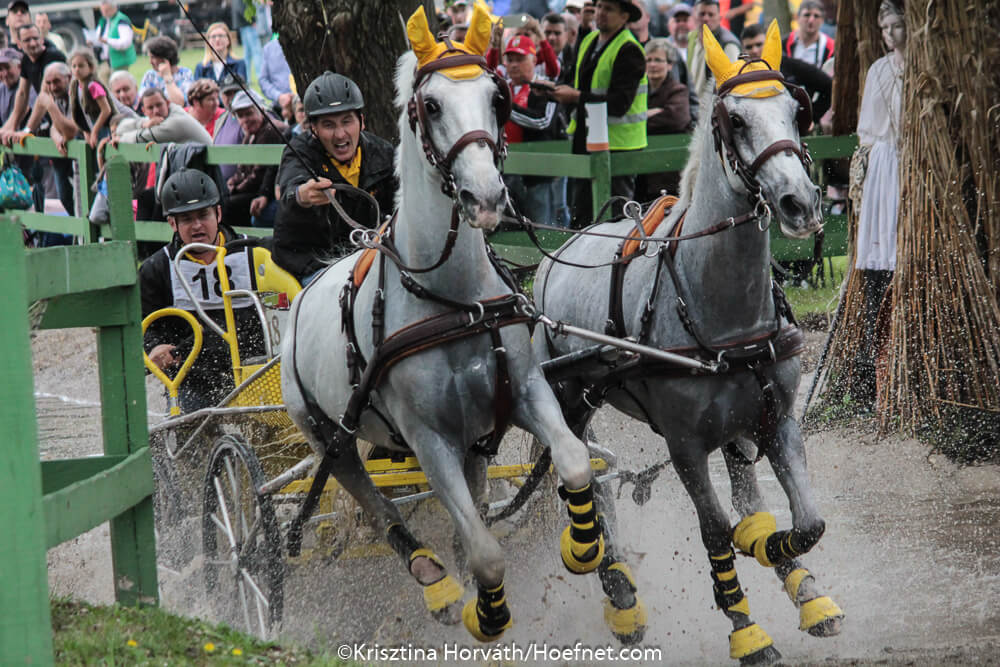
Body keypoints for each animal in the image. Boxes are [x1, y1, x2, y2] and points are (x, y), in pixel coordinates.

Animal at [280, 3, 646, 644]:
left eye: (497, 97)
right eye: (429, 106)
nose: (486, 196)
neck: (454, 303)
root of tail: (305, 294)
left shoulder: (526, 390)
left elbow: (574, 461)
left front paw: (583, 546)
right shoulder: (430, 442)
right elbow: (485, 551)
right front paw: (486, 608)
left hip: (476, 437)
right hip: (331, 437)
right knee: (376, 505)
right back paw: (437, 582)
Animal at [534, 23, 843, 663]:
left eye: (795, 109)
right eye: (735, 119)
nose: (802, 203)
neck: (720, 313)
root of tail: (554, 254)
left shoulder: (778, 419)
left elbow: (805, 523)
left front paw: (789, 570)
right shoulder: (684, 445)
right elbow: (716, 530)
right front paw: (747, 628)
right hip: (570, 400)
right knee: (584, 481)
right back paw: (612, 583)